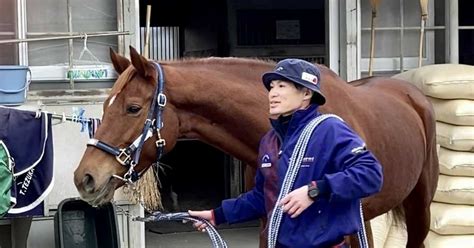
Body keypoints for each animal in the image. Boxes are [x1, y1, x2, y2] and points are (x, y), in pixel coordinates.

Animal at [75, 47, 440, 248]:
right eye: (105, 104)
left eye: (133, 108)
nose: (85, 178)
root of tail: (411, 93)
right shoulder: (268, 224)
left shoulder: (356, 229)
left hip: (419, 207)